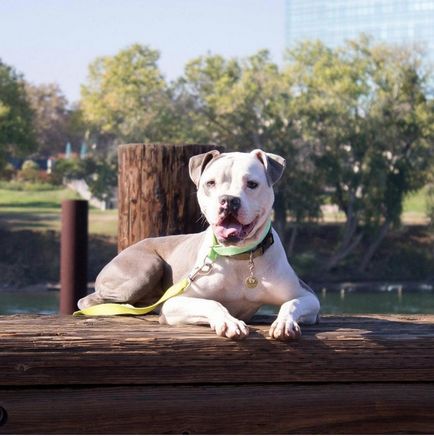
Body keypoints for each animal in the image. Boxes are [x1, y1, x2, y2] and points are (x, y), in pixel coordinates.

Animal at [78, 150, 318, 340]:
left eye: (252, 184)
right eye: (210, 183)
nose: (229, 200)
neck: (240, 256)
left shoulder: (308, 296)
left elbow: (291, 304)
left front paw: (284, 323)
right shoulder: (176, 302)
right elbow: (211, 303)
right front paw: (229, 322)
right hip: (144, 270)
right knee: (88, 300)